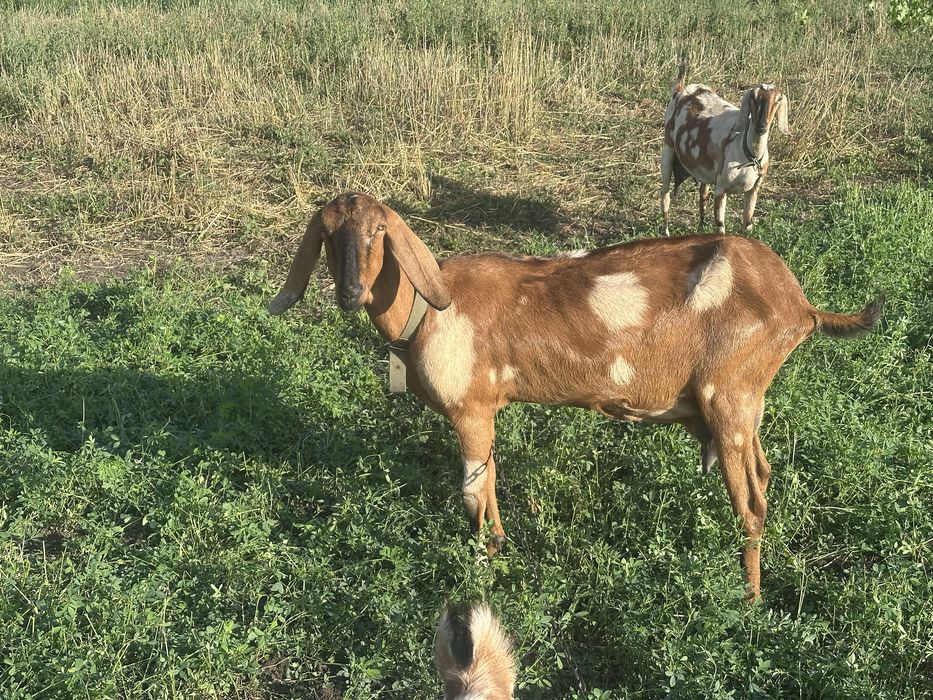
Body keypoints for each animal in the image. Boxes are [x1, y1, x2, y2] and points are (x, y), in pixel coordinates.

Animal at [269, 192, 882, 599]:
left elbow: (472, 493)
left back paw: (748, 602)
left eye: (379, 231)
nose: (350, 292)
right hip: (744, 405)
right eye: (328, 235)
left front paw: (481, 570)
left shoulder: (468, 409)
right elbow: (491, 480)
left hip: (729, 395)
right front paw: (501, 549)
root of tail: (801, 305)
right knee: (765, 475)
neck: (429, 309)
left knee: (750, 502)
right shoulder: (487, 410)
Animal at [660, 64, 789, 236]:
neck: (748, 154)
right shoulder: (721, 189)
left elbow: (747, 225)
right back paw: (666, 232)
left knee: (702, 193)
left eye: (778, 100)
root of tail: (681, 89)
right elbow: (720, 227)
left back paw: (701, 227)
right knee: (665, 194)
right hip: (668, 149)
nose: (761, 127)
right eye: (754, 98)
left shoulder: (754, 189)